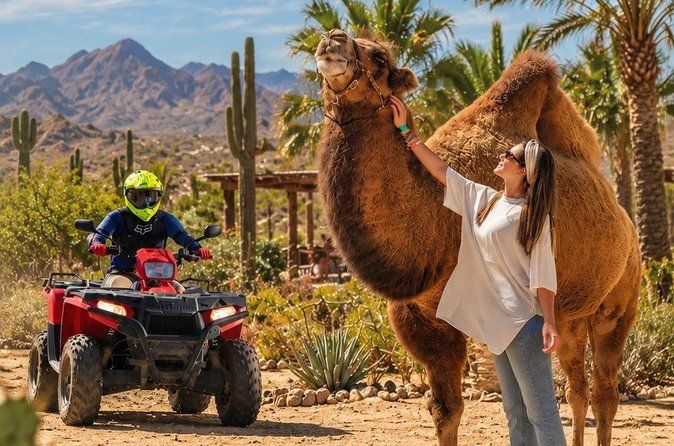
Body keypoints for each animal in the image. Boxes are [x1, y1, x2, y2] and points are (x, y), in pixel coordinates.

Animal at [314, 29, 641, 446]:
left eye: (381, 58)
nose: (331, 40)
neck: (440, 223)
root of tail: (628, 228)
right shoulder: (419, 318)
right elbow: (445, 410)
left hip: (618, 304)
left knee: (605, 392)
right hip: (569, 316)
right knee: (576, 388)